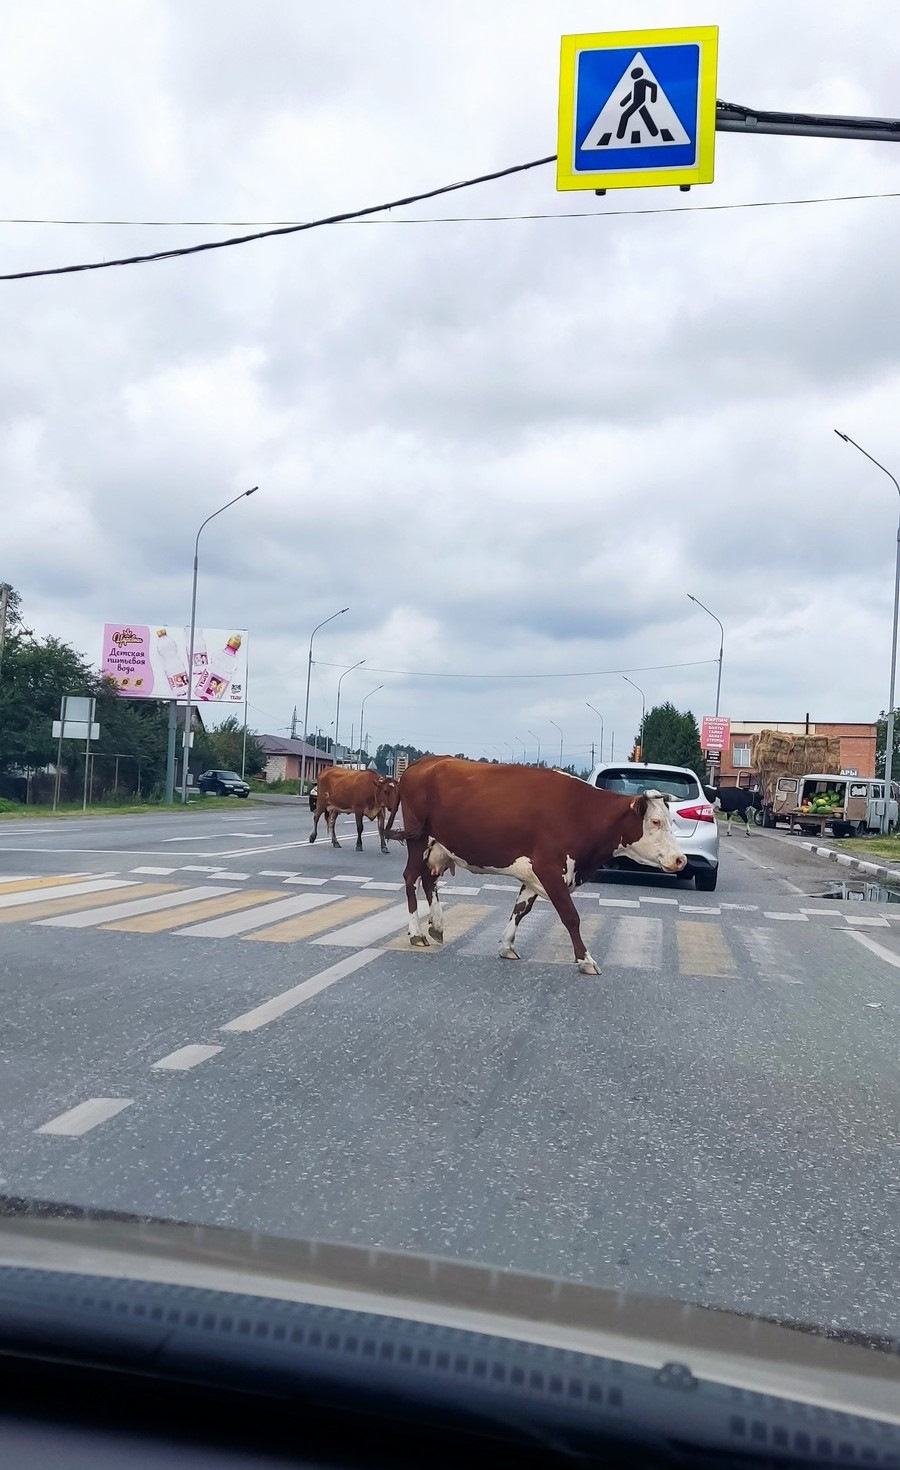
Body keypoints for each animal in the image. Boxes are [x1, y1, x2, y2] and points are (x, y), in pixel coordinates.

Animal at [382, 758, 685, 976]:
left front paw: (507, 944)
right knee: (410, 879)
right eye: (655, 821)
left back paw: (437, 925)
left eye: (671, 821)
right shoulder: (549, 868)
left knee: (428, 881)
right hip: (418, 841)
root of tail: (426, 761)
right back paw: (416, 933)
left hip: (439, 848)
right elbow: (571, 916)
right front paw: (585, 959)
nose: (681, 859)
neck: (581, 812)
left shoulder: (534, 874)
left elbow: (521, 909)